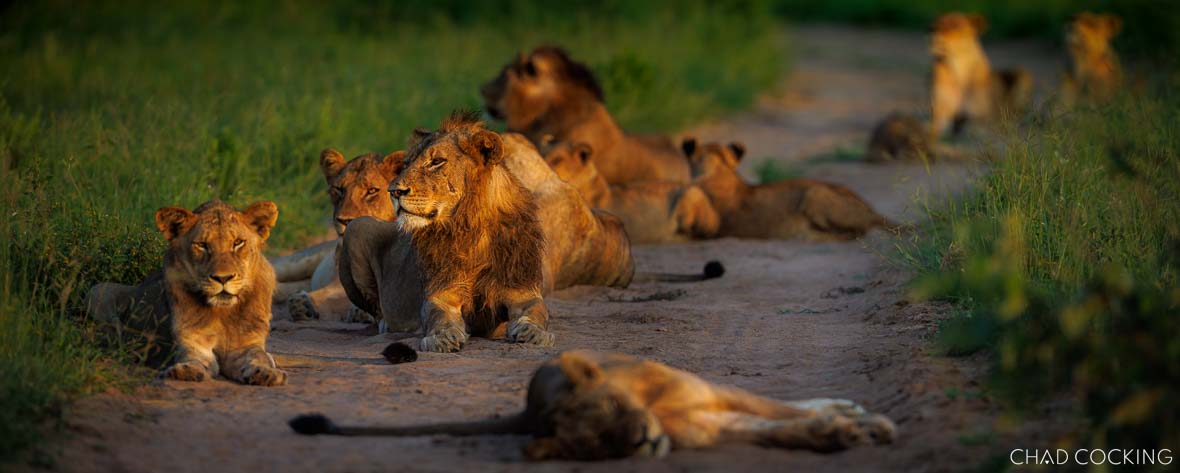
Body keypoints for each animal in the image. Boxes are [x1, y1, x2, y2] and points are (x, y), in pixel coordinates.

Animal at [85, 200, 287, 386]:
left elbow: (258, 356)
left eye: (238, 243)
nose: (223, 278)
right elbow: (194, 358)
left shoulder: (246, 345)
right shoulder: (194, 343)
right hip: (97, 291)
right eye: (202, 245)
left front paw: (266, 373)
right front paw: (185, 371)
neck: (223, 312)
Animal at [271, 149, 405, 323]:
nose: (345, 220)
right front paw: (303, 304)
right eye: (339, 189)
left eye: (372, 191)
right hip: (295, 262)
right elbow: (330, 296)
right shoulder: (338, 284)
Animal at [336, 112, 555, 352]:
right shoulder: (441, 293)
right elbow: (438, 316)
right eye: (407, 163)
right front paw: (442, 338)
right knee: (376, 311)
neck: (471, 226)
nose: (393, 191)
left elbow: (537, 311)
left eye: (436, 162)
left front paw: (533, 332)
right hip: (357, 226)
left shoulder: (522, 291)